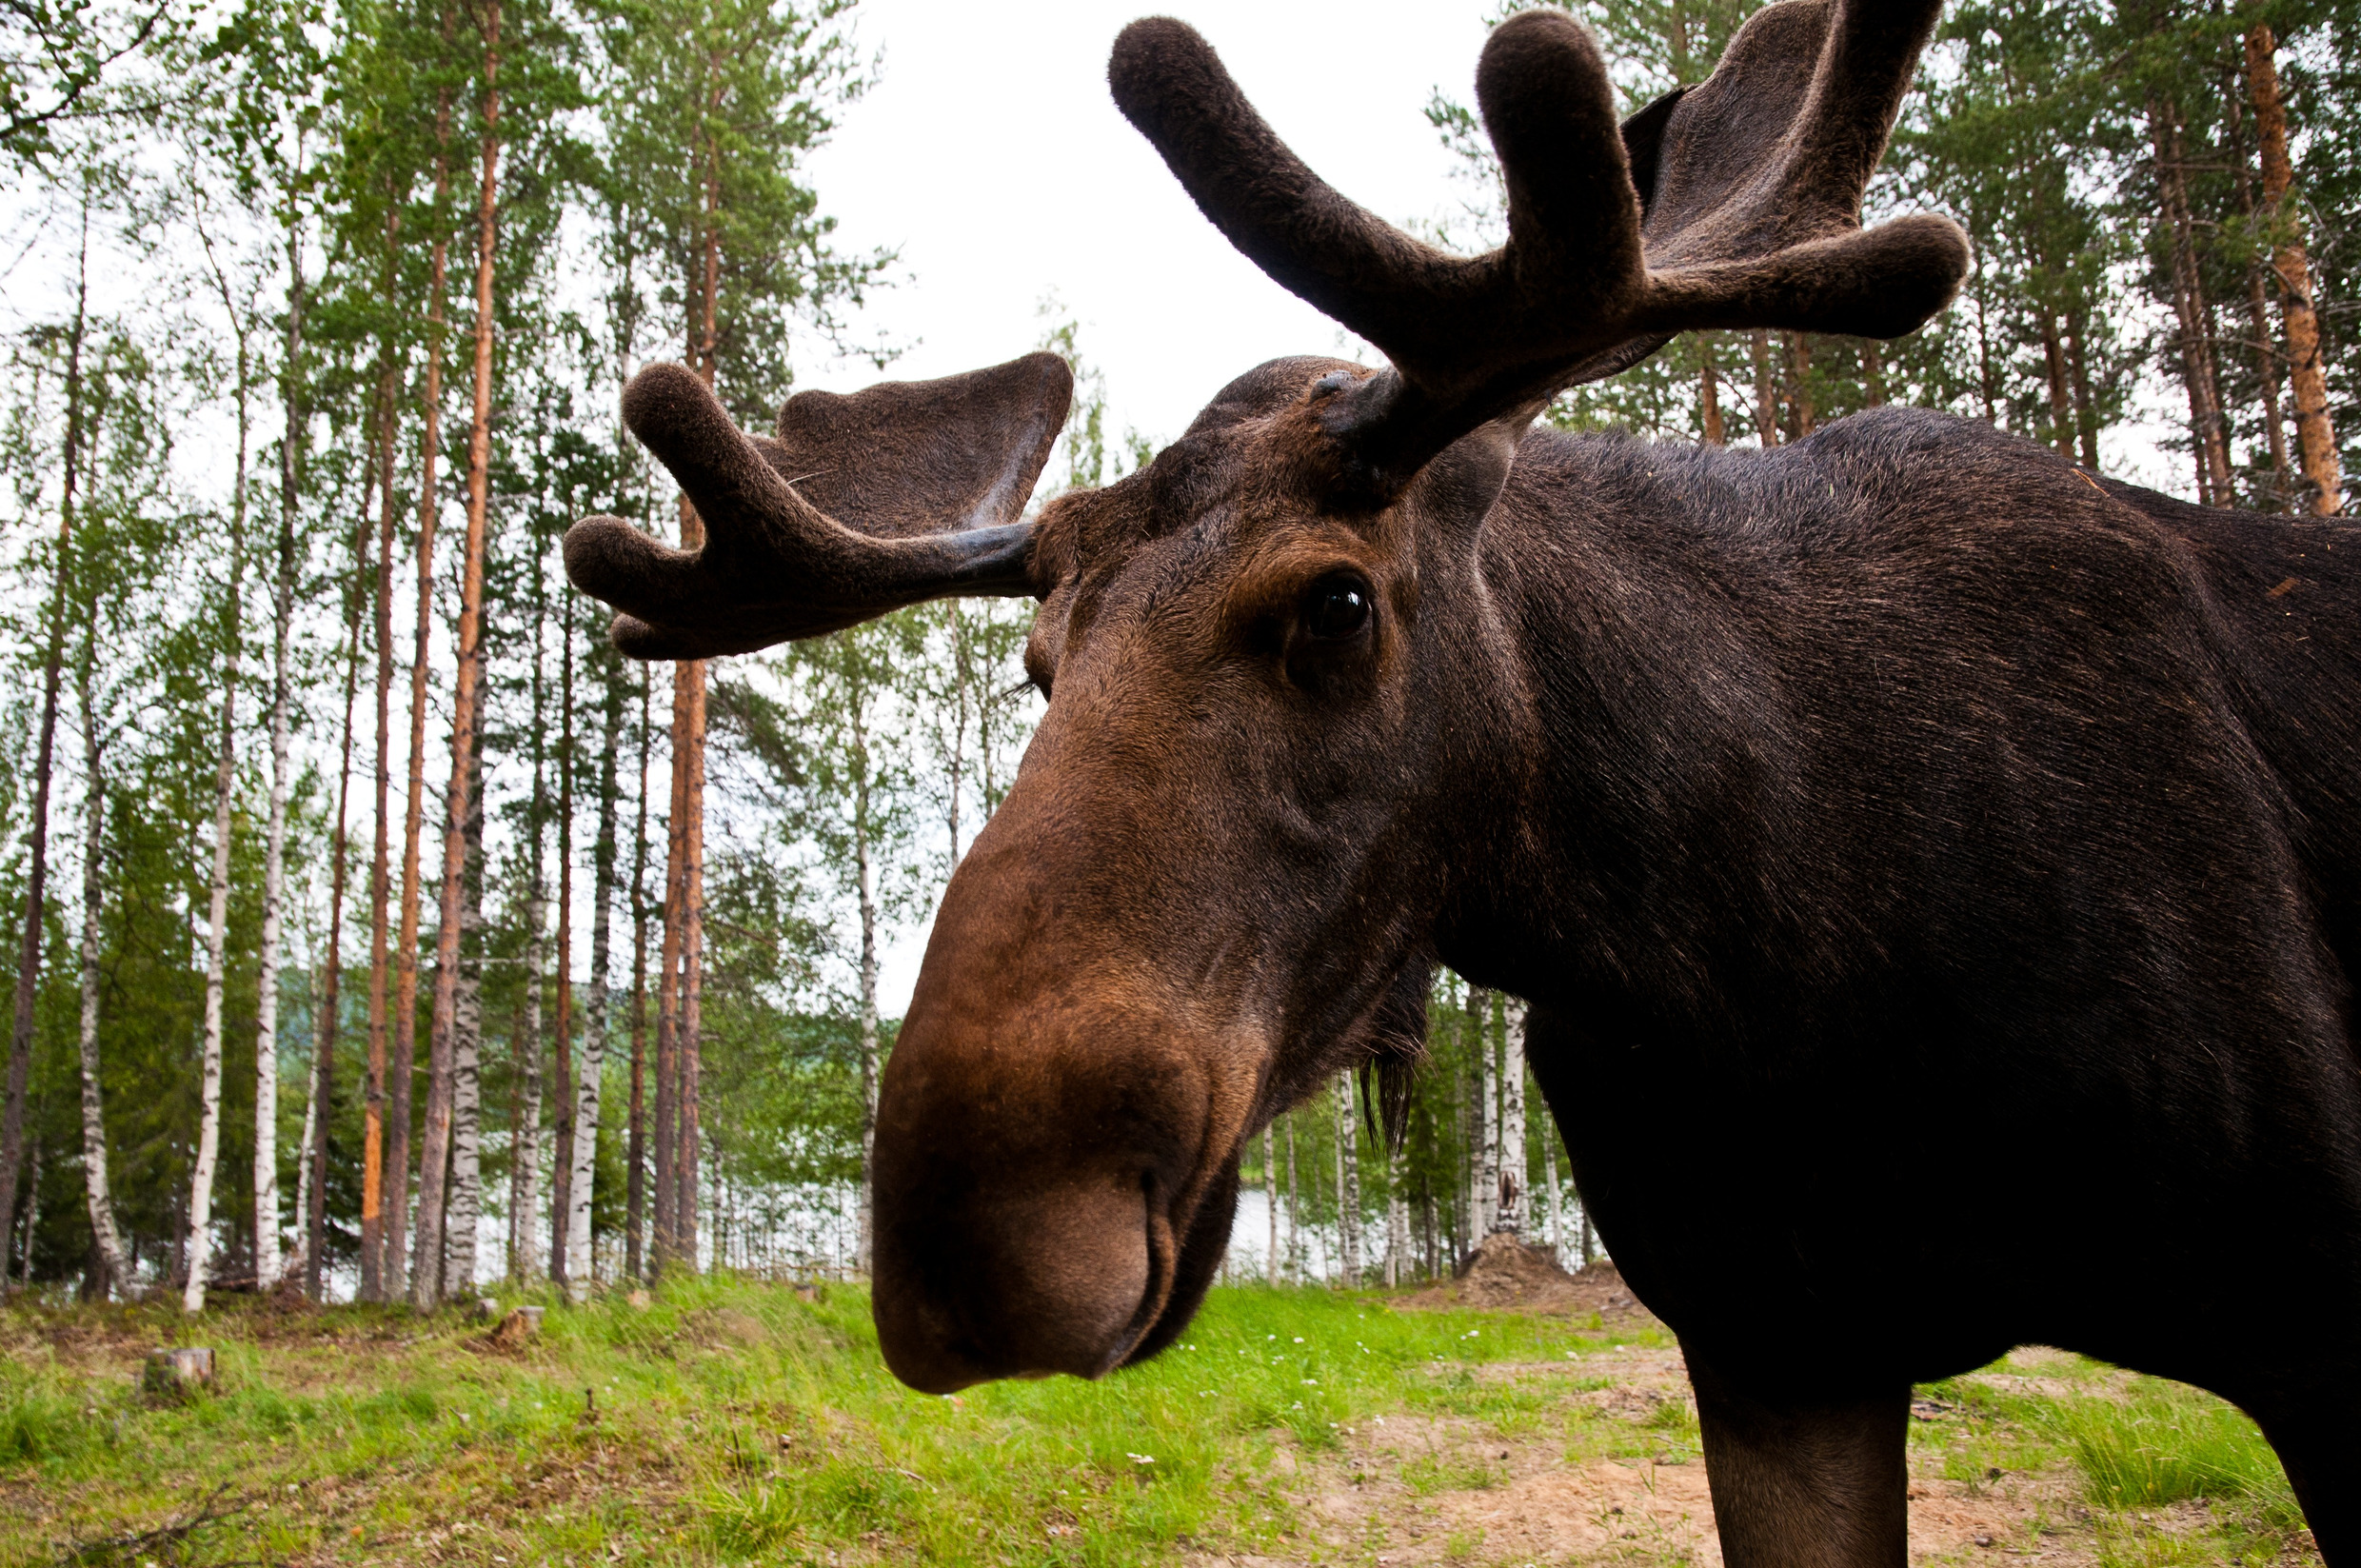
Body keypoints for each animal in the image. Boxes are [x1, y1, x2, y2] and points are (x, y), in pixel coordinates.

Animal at [566, 0, 2361, 1558]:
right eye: (1035, 664)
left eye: (1338, 601)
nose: (967, 1247)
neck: (1758, 953)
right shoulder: (1776, 1346)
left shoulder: (2318, 1323)